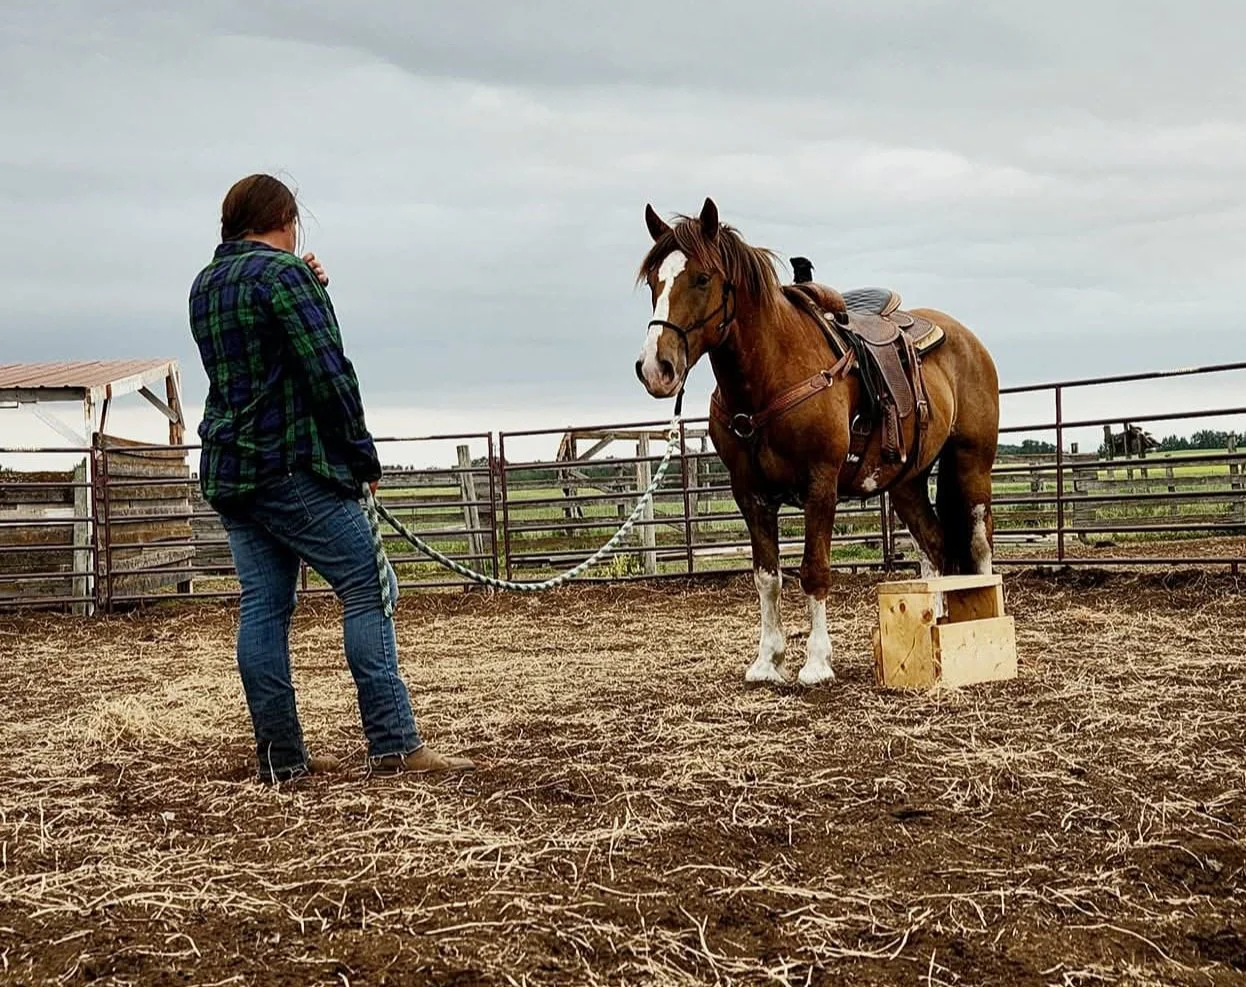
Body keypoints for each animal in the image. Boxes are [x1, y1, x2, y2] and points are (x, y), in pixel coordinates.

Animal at [634, 198, 1000, 687]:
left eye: (702, 277)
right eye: (654, 281)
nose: (656, 367)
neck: (770, 375)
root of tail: (968, 340)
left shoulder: (820, 485)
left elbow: (814, 570)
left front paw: (816, 662)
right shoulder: (749, 493)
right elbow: (767, 577)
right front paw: (768, 661)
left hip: (972, 463)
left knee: (978, 545)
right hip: (907, 481)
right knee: (935, 543)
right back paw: (935, 617)